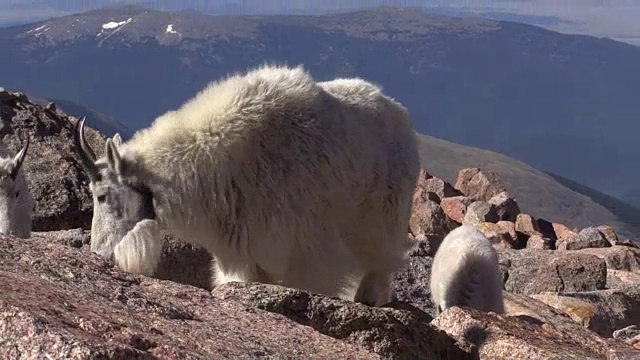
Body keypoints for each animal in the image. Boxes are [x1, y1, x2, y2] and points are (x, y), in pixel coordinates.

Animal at [75, 64, 422, 306]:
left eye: (102, 196)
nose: (98, 253)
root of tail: (403, 117)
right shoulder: (246, 246)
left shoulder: (304, 244)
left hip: (384, 213)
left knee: (382, 258)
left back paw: (368, 296)